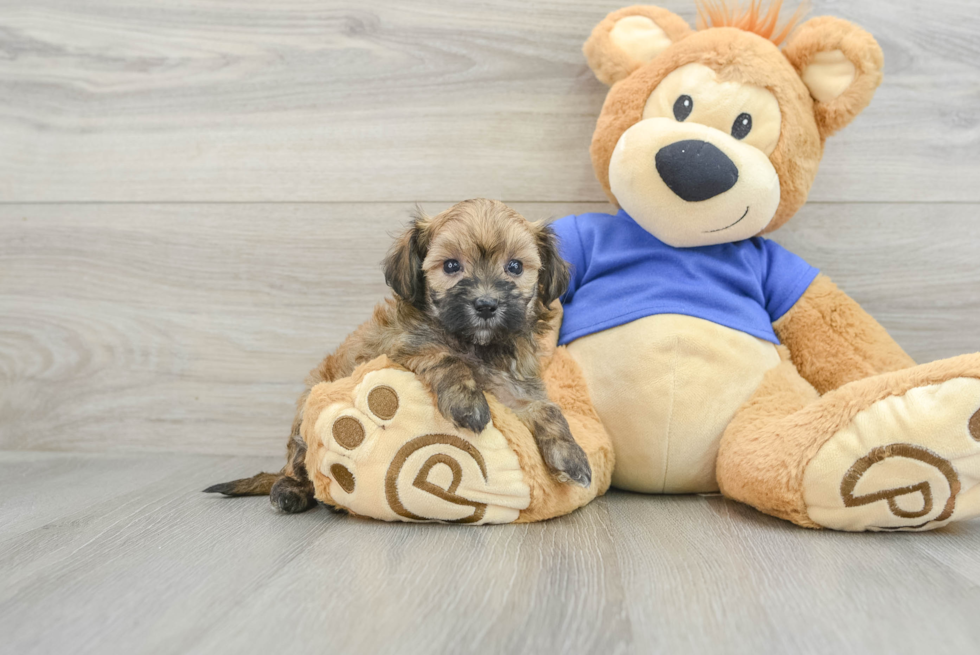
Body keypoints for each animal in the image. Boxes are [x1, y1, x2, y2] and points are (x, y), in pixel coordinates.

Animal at [206, 197, 588, 516]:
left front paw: (571, 456)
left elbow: (549, 411)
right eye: (452, 266)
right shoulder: (403, 346)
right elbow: (446, 358)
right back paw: (291, 491)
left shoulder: (515, 388)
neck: (479, 344)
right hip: (305, 418)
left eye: (515, 267)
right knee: (300, 464)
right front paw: (468, 403)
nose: (486, 304)